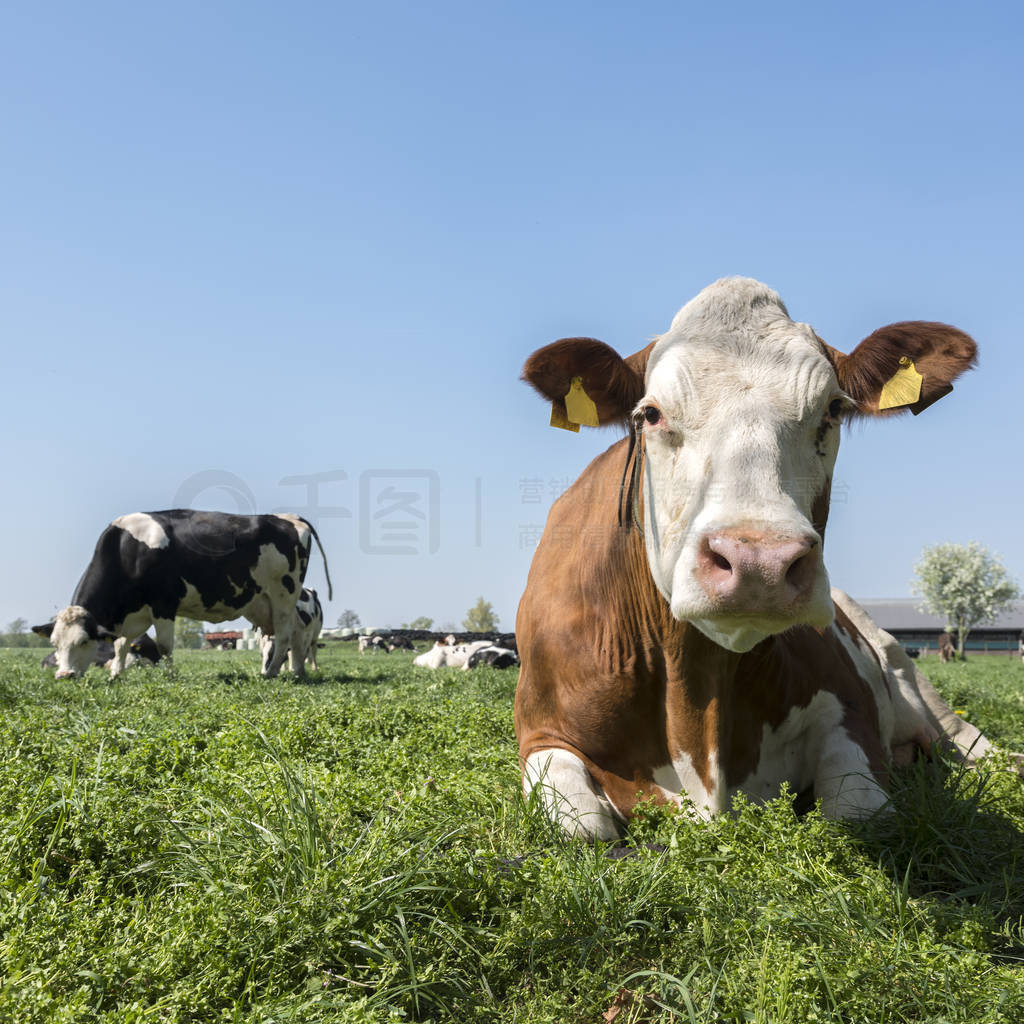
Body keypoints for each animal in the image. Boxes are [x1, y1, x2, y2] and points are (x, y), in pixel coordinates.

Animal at [33, 505, 331, 679]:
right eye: (54, 644)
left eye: (84, 642)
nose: (64, 675)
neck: (126, 549)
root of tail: (289, 518)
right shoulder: (136, 612)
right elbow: (120, 644)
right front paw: (116, 675)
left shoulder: (163, 603)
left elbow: (164, 645)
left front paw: (170, 676)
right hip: (270, 602)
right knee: (297, 634)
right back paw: (297, 671)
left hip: (283, 594)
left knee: (284, 635)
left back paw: (271, 673)